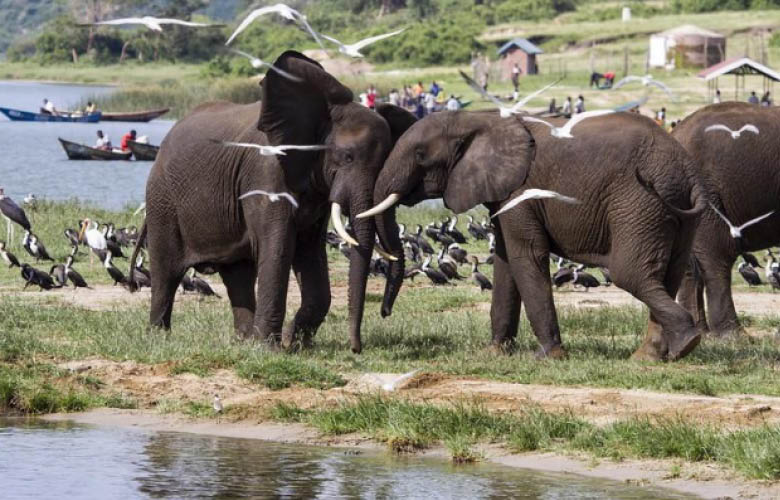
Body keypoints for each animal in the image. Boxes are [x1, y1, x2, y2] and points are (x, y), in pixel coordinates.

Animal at [130, 51, 416, 353]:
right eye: (347, 157)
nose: (356, 348)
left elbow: (309, 248)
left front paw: (294, 342)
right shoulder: (265, 173)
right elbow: (279, 244)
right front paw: (272, 347)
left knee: (238, 272)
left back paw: (244, 340)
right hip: (162, 198)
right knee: (167, 271)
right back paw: (159, 336)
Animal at [362, 110, 708, 361]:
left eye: (420, 155)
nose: (385, 313)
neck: (479, 119)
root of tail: (691, 174)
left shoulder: (521, 192)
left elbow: (524, 256)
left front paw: (548, 356)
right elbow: (505, 263)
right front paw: (494, 353)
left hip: (638, 203)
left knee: (631, 273)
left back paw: (687, 342)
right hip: (671, 210)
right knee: (668, 273)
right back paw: (652, 356)